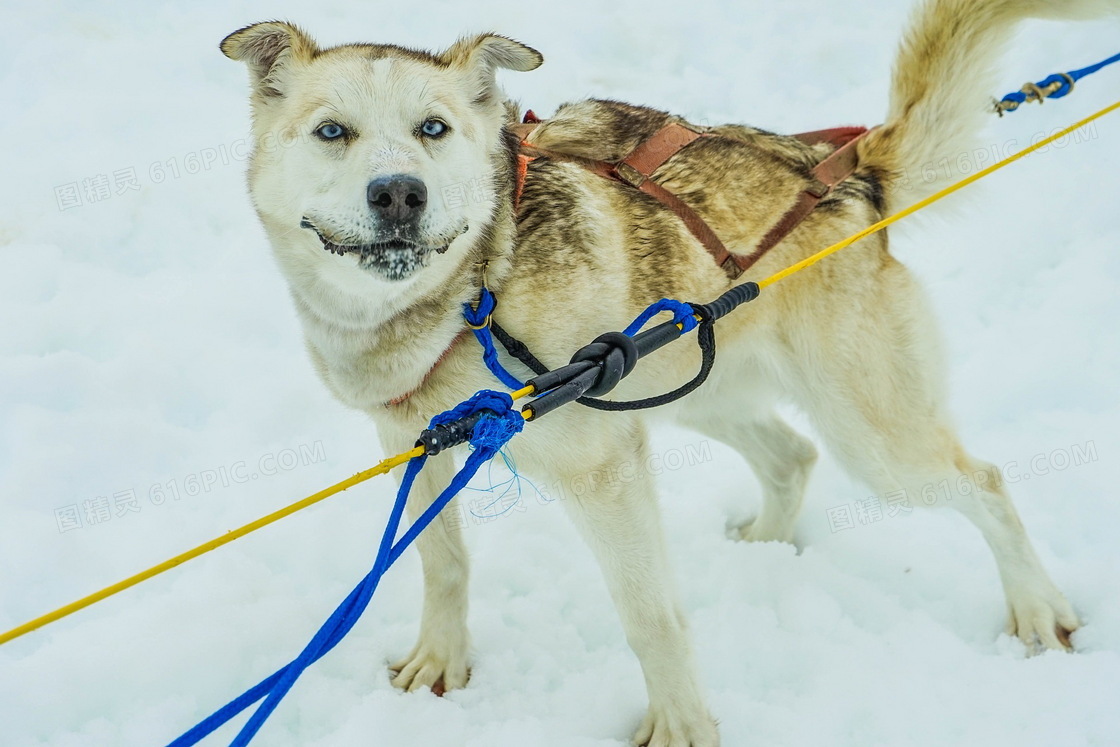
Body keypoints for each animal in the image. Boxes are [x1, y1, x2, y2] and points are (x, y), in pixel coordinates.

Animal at [222, 2, 1115, 743]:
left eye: (433, 128)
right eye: (332, 132)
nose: (400, 192)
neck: (475, 293)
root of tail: (841, 173)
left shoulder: (604, 473)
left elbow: (650, 616)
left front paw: (682, 727)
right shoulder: (414, 446)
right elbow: (442, 563)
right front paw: (441, 663)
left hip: (874, 436)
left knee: (984, 481)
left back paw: (1039, 610)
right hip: (685, 383)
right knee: (792, 455)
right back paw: (764, 546)